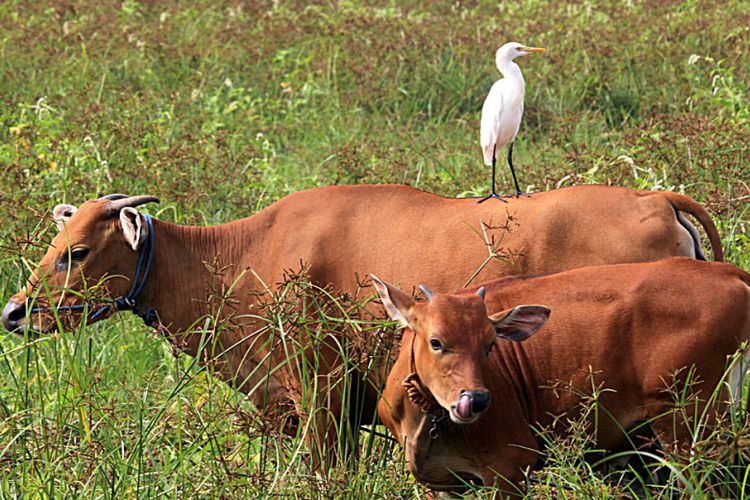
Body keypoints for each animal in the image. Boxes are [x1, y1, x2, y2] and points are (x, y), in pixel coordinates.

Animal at [0, 186, 724, 466]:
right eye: (54, 238)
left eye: (77, 251)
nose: (13, 311)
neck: (243, 257)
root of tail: (654, 197)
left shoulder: (318, 394)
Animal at [376, 258, 750, 496]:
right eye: (436, 341)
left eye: (489, 344)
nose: (476, 399)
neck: (426, 425)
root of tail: (729, 273)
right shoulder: (437, 484)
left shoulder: (510, 466)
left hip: (689, 425)